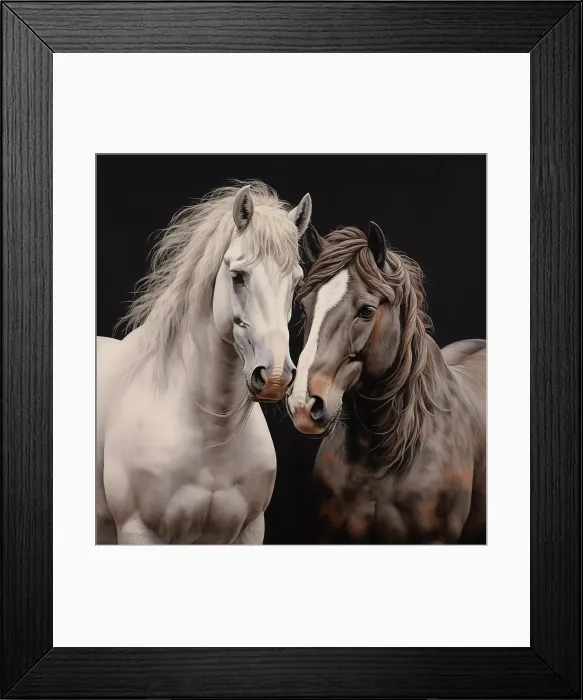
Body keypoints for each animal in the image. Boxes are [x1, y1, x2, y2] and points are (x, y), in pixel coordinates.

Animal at [96, 181, 312, 544]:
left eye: (296, 282)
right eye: (238, 276)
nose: (275, 378)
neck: (212, 439)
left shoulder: (248, 532)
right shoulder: (138, 530)